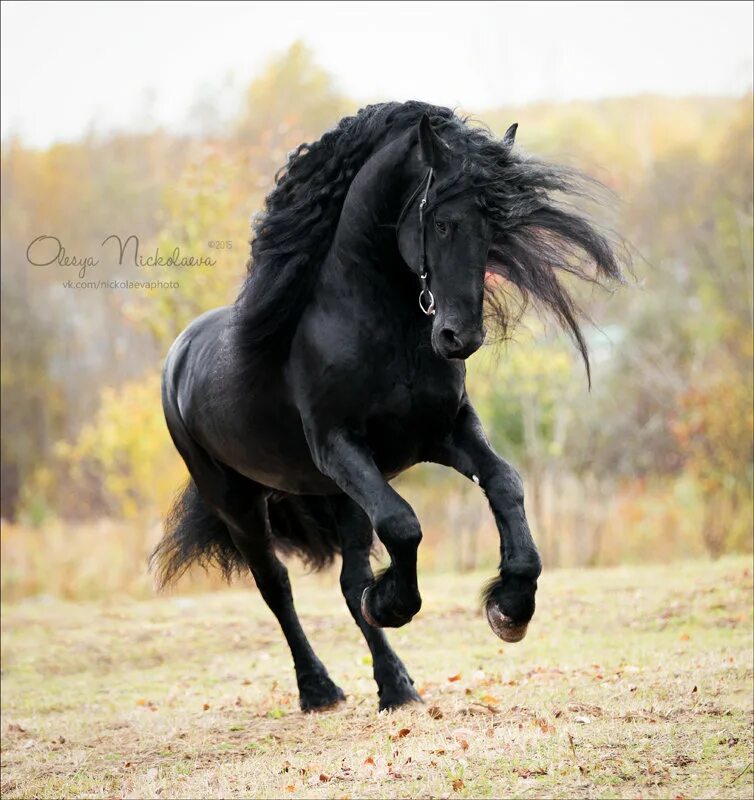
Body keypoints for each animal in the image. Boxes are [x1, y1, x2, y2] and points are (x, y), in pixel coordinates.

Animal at [150, 101, 620, 712]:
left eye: (494, 227)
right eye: (441, 221)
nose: (459, 337)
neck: (380, 327)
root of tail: (178, 357)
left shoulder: (444, 435)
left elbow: (505, 483)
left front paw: (511, 606)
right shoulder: (341, 447)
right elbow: (403, 524)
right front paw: (394, 602)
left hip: (337, 496)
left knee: (349, 581)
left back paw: (396, 687)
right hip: (240, 502)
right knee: (276, 585)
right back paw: (319, 690)